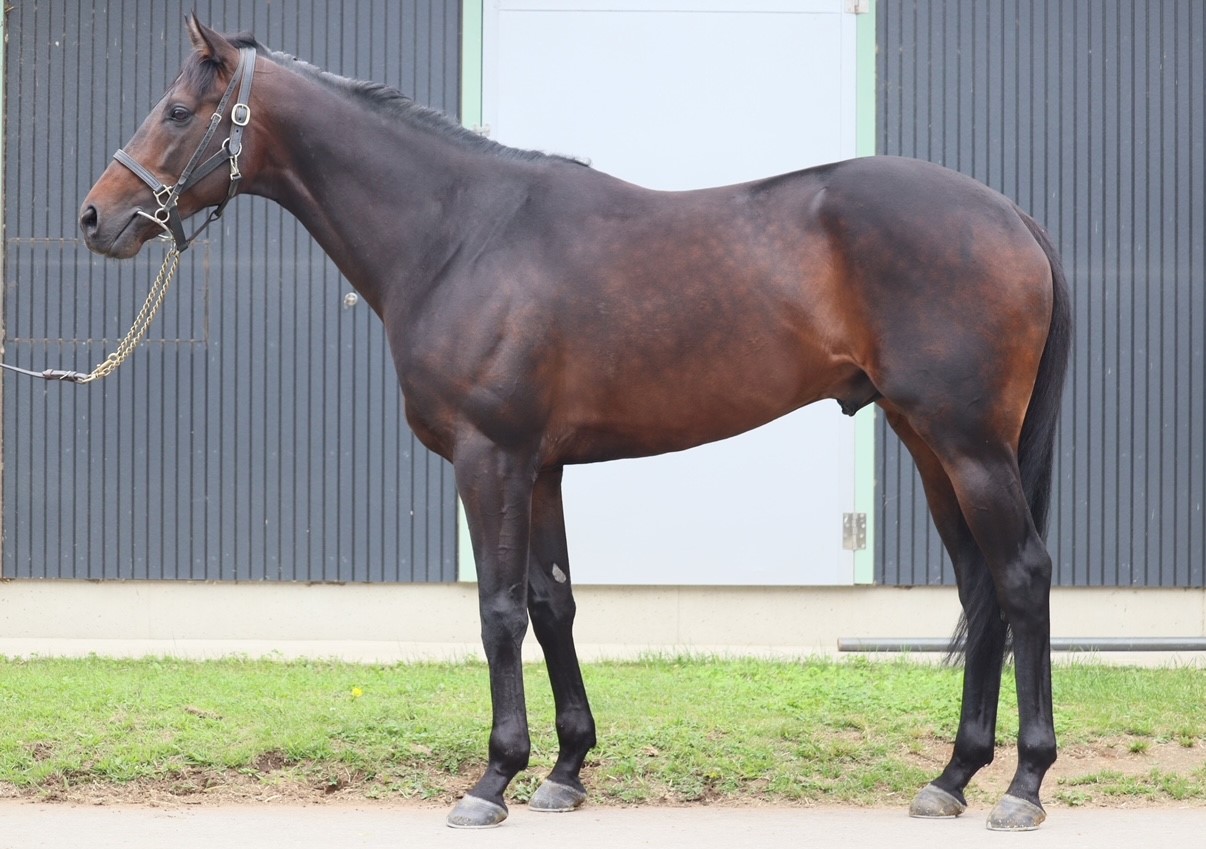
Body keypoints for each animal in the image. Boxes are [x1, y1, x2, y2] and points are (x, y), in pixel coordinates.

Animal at [79, 16, 1071, 831]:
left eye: (176, 110)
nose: (96, 217)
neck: (460, 235)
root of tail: (1011, 216)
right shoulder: (543, 467)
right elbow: (553, 603)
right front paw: (564, 769)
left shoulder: (489, 458)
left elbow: (498, 610)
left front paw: (492, 779)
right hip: (929, 442)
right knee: (979, 587)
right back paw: (952, 775)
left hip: (969, 444)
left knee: (1021, 576)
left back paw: (1023, 785)